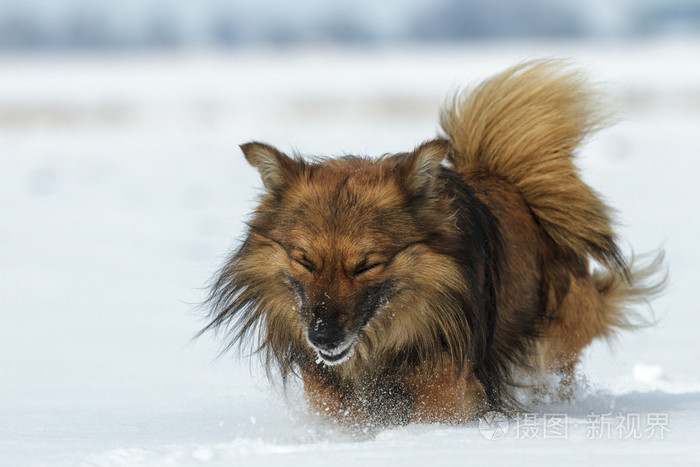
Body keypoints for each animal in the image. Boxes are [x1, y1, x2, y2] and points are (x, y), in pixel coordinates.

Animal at [201, 61, 660, 428]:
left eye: (366, 264)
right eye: (304, 260)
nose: (322, 337)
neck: (379, 351)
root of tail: (509, 182)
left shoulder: (445, 392)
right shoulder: (334, 398)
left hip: (550, 348)